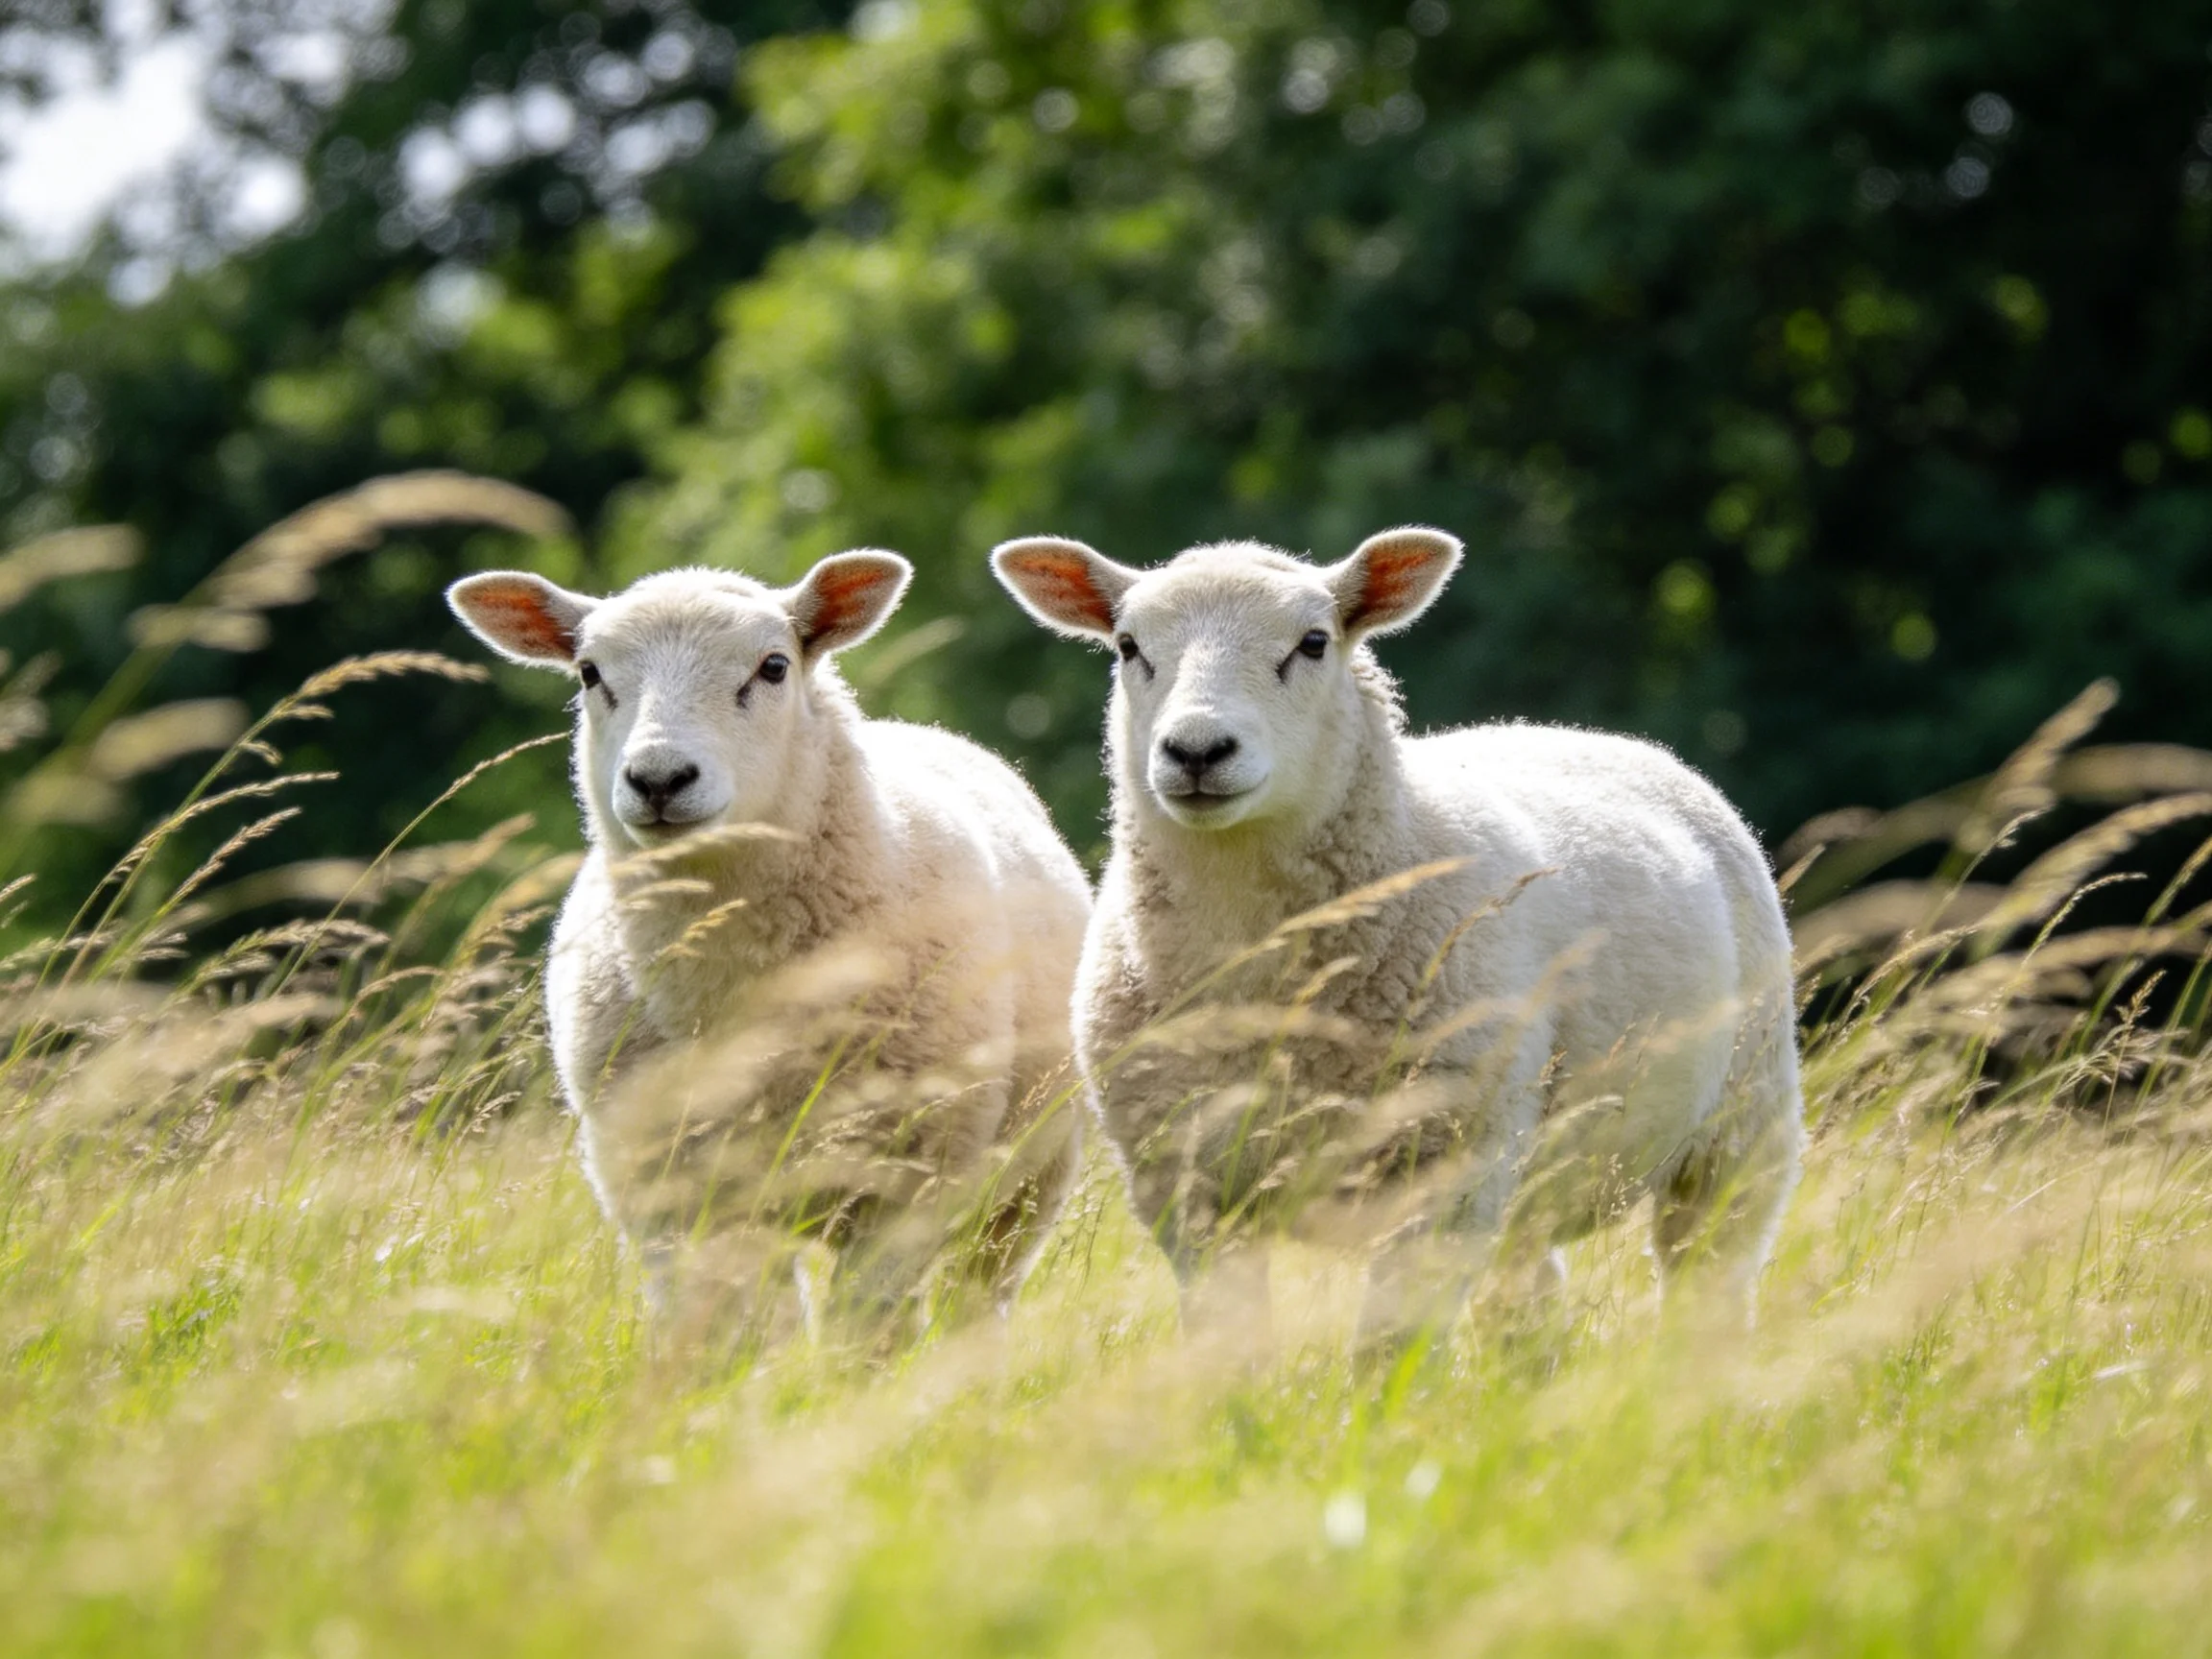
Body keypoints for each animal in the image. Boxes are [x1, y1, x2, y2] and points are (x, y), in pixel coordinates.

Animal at [447, 553, 1091, 1336]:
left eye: (774, 666)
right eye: (589, 673)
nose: (659, 779)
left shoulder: (904, 1181)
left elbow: (865, 1333)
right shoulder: (666, 1194)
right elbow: (718, 1330)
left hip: (1026, 1175)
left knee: (976, 1295)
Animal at [992, 527, 1803, 1331]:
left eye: (1314, 643)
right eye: (1129, 646)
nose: (1195, 750)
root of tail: (1587, 734)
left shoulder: (1442, 1172)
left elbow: (1391, 1346)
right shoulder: (1188, 1188)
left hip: (1741, 1122)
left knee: (1711, 1282)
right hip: (1526, 1183)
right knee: (1529, 1300)